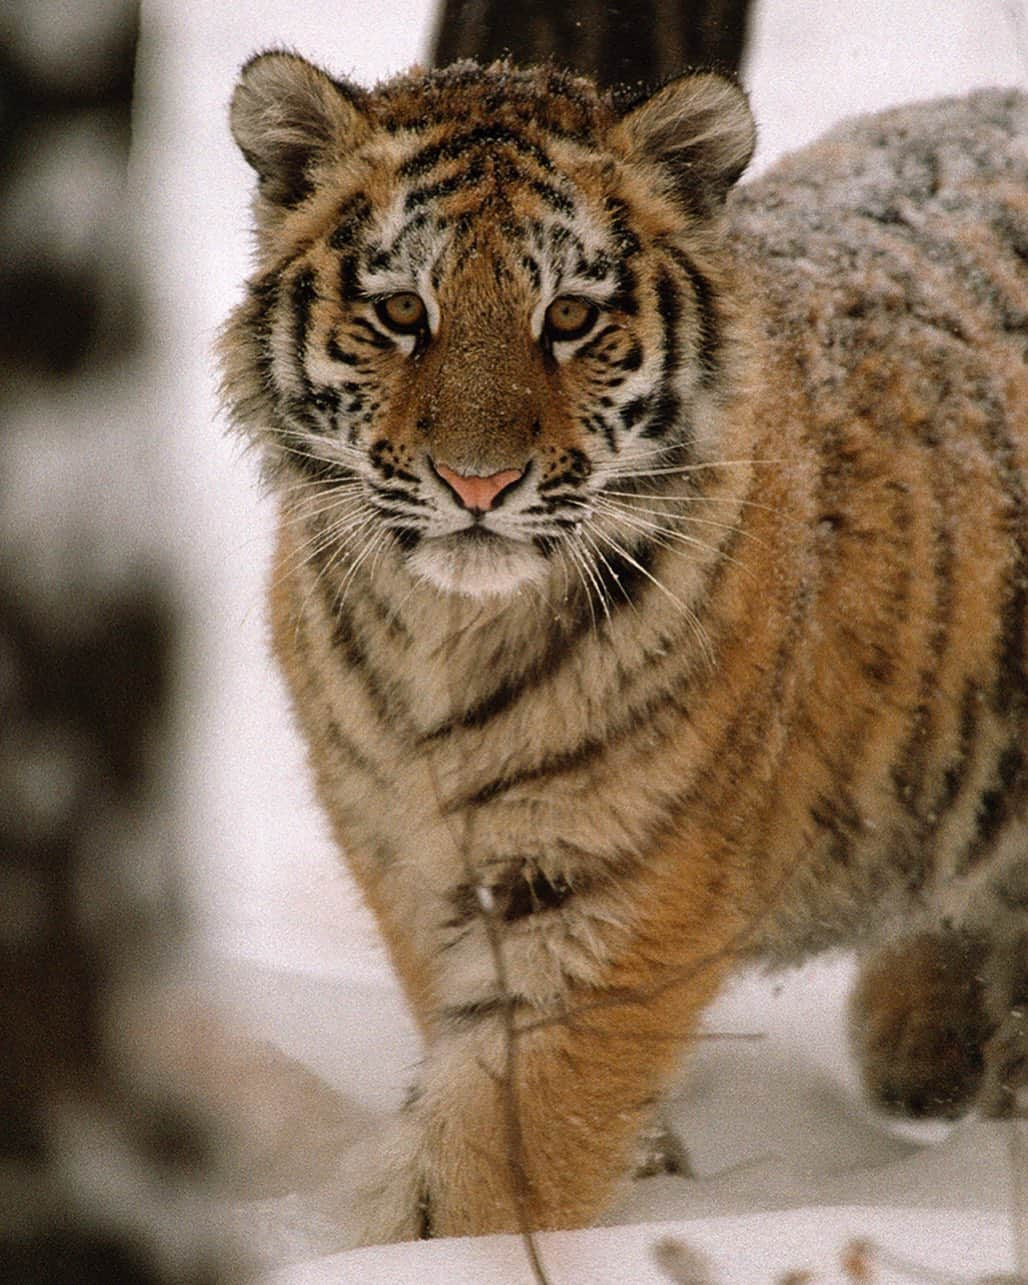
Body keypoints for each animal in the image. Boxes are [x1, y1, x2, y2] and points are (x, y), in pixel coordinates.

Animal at [218, 52, 1028, 1243]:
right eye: (403, 310)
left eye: (568, 316)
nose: (476, 483)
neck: (443, 635)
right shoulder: (408, 856)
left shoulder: (606, 886)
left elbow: (494, 1150)